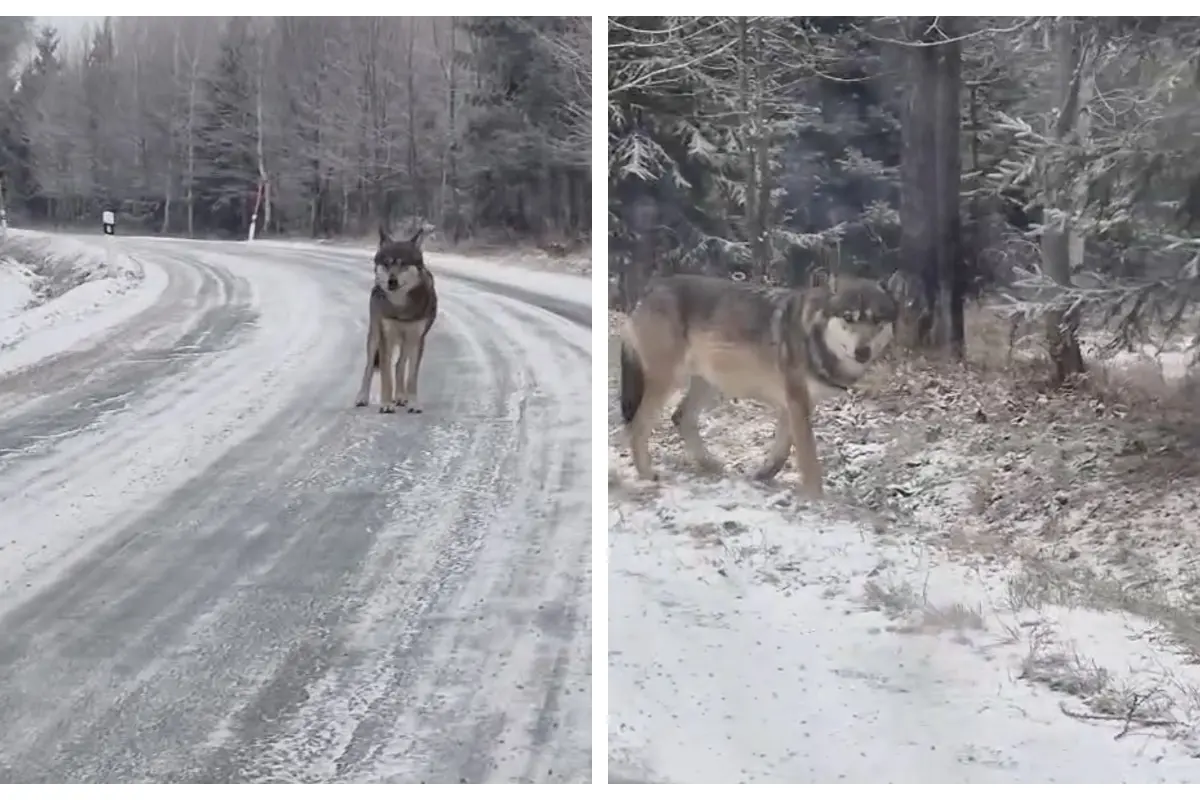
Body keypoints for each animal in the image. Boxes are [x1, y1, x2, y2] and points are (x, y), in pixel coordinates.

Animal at [352, 225, 439, 412]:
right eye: (386, 263)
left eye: (403, 264)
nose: (392, 281)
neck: (401, 307)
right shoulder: (386, 336)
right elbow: (386, 375)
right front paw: (386, 404)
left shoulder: (418, 338)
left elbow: (411, 376)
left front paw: (413, 403)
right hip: (374, 336)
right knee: (369, 367)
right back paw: (362, 397)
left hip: (406, 341)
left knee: (400, 365)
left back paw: (400, 397)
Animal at [624, 275, 897, 501]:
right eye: (849, 318)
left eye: (877, 319)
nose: (863, 351)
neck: (812, 337)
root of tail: (650, 288)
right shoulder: (797, 401)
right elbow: (808, 457)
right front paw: (816, 498)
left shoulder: (794, 405)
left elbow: (781, 453)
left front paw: (761, 475)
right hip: (669, 381)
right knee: (638, 424)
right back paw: (648, 474)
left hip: (709, 382)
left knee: (680, 417)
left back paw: (712, 465)